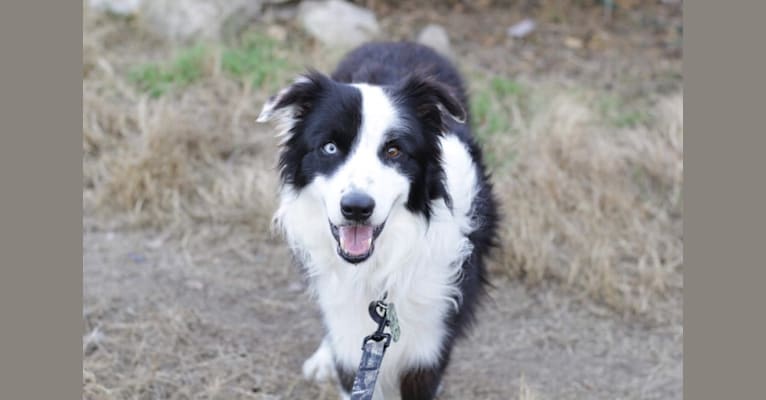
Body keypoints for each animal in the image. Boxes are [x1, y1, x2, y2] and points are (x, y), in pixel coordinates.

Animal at [258, 42, 498, 398]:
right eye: (330, 148)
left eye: (394, 151)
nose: (356, 208)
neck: (379, 268)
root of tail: (400, 42)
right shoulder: (350, 337)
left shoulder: (428, 348)